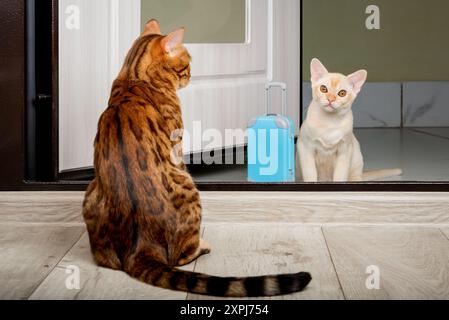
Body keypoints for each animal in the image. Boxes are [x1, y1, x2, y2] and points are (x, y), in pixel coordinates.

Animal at [82, 18, 310, 296]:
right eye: (186, 64)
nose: (191, 74)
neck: (134, 77)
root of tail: (139, 248)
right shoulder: (177, 149)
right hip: (190, 188)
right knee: (180, 256)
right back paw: (202, 245)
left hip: (90, 193)